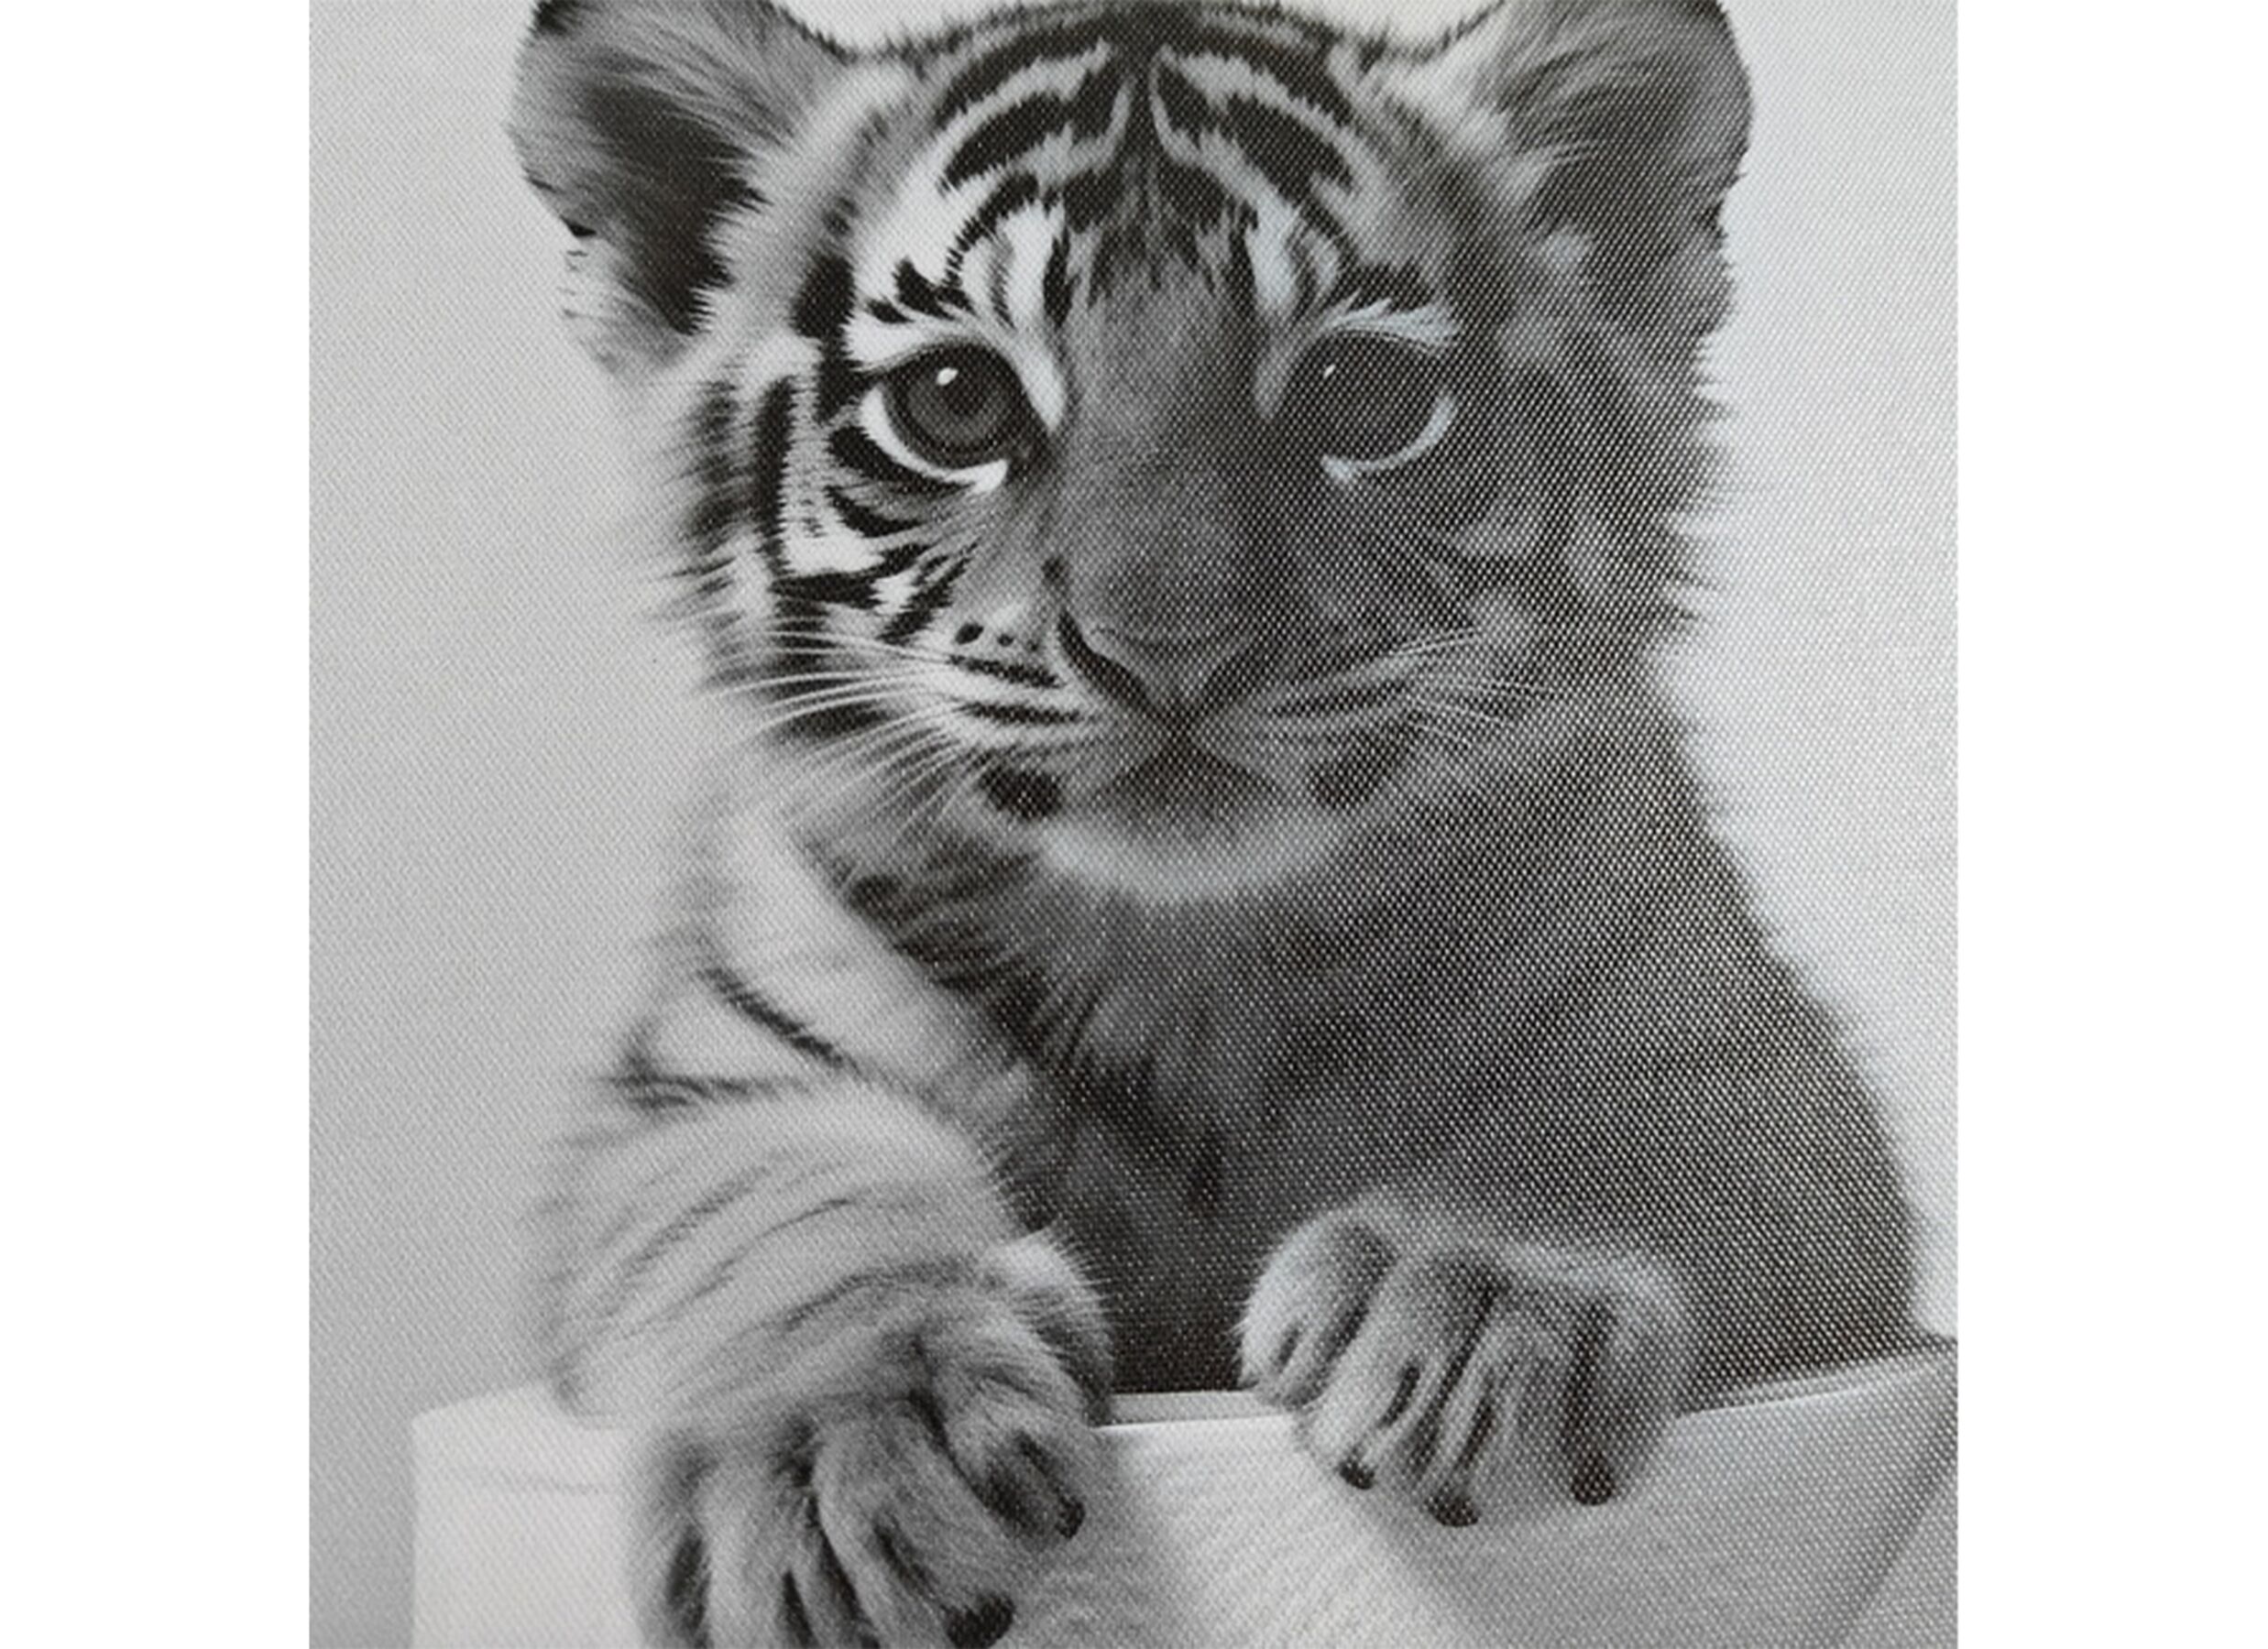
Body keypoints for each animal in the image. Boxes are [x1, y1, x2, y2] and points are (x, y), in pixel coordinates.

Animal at [508, 1, 1919, 1644]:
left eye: (1361, 399)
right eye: (954, 404)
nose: (1167, 647)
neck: (1179, 951)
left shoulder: (1747, 1042)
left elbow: (1617, 1129)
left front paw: (1472, 1303)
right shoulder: (703, 1092)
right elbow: (779, 1212)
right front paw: (838, 1459)